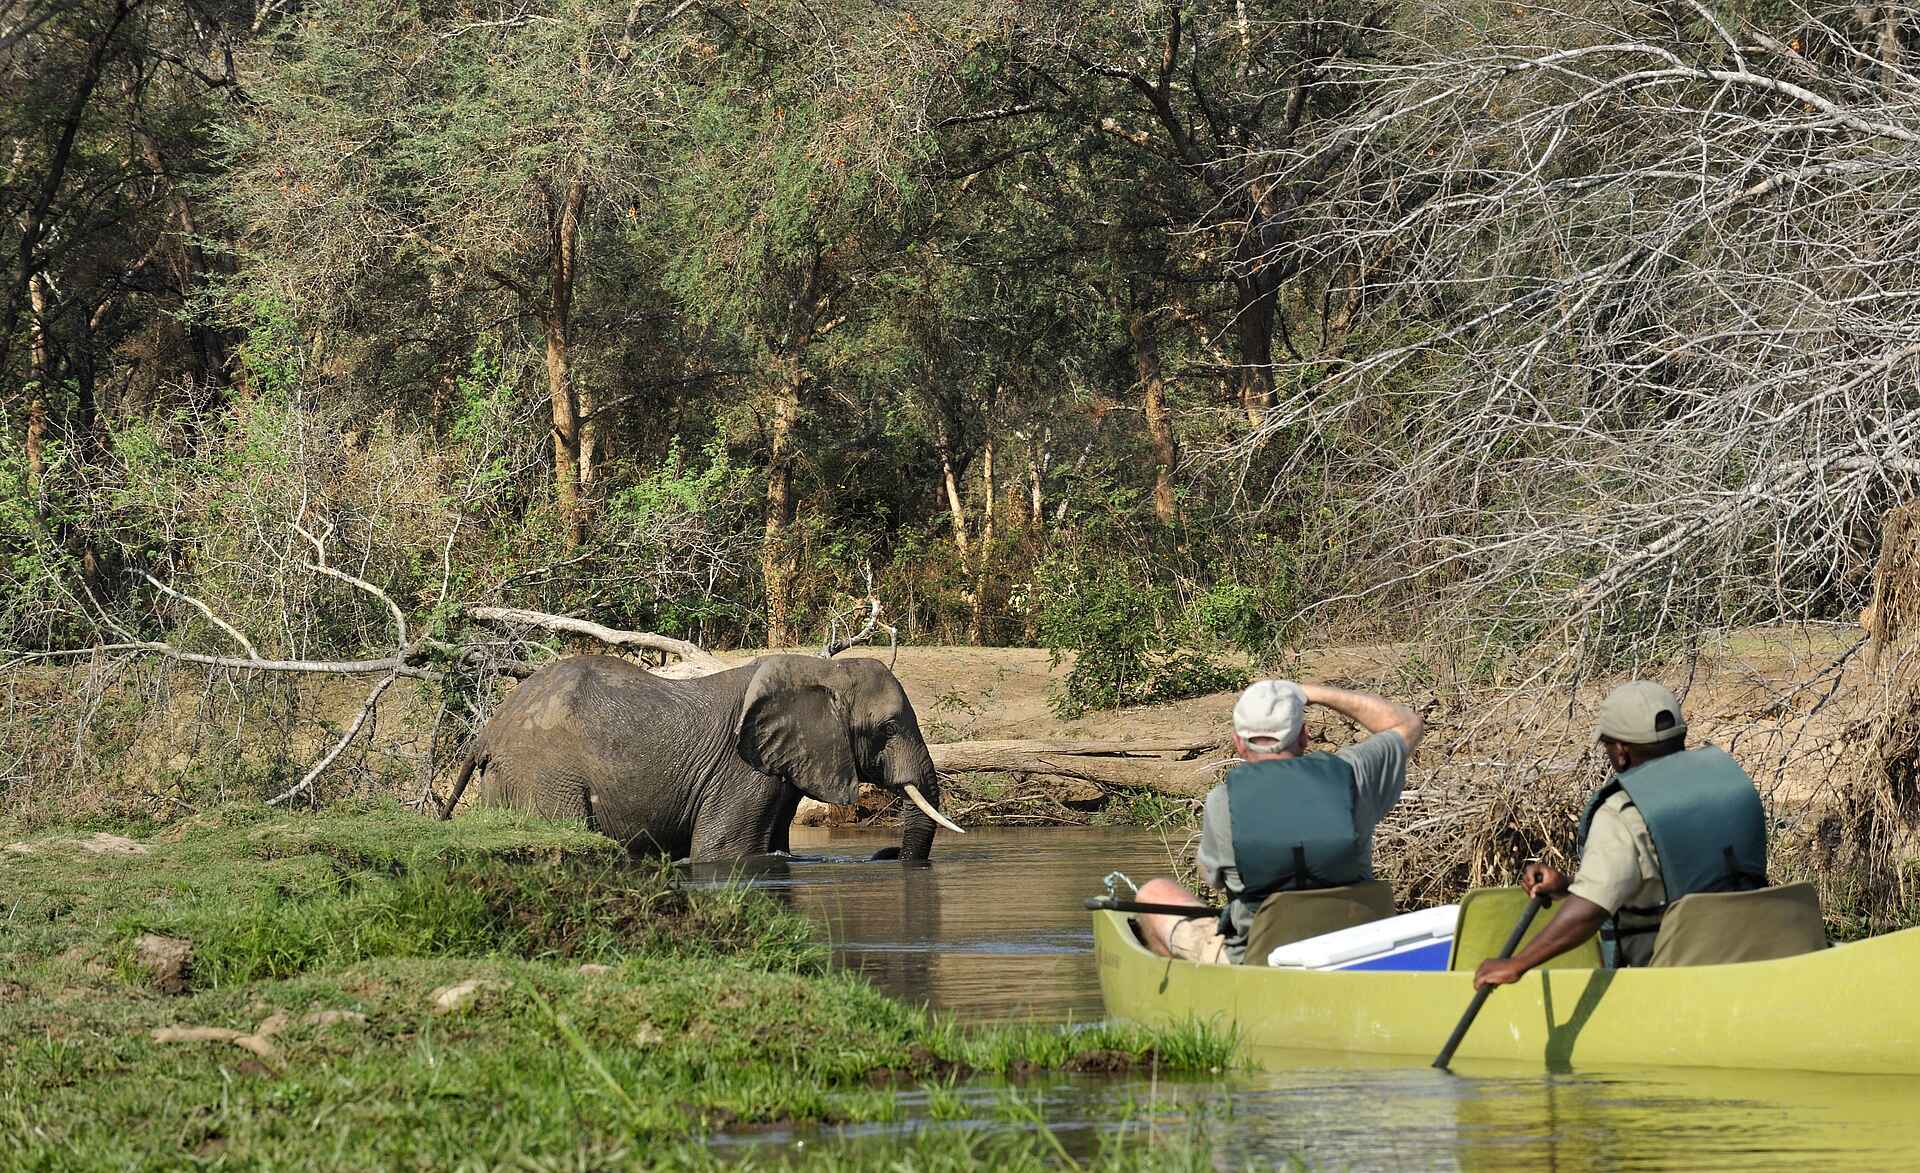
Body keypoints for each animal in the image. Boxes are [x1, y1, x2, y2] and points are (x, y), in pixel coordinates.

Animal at [437, 652, 962, 862]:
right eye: (888, 728)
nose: (887, 852)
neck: (822, 670)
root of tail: (489, 730)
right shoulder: (741, 771)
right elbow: (723, 852)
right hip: (544, 774)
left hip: (506, 778)